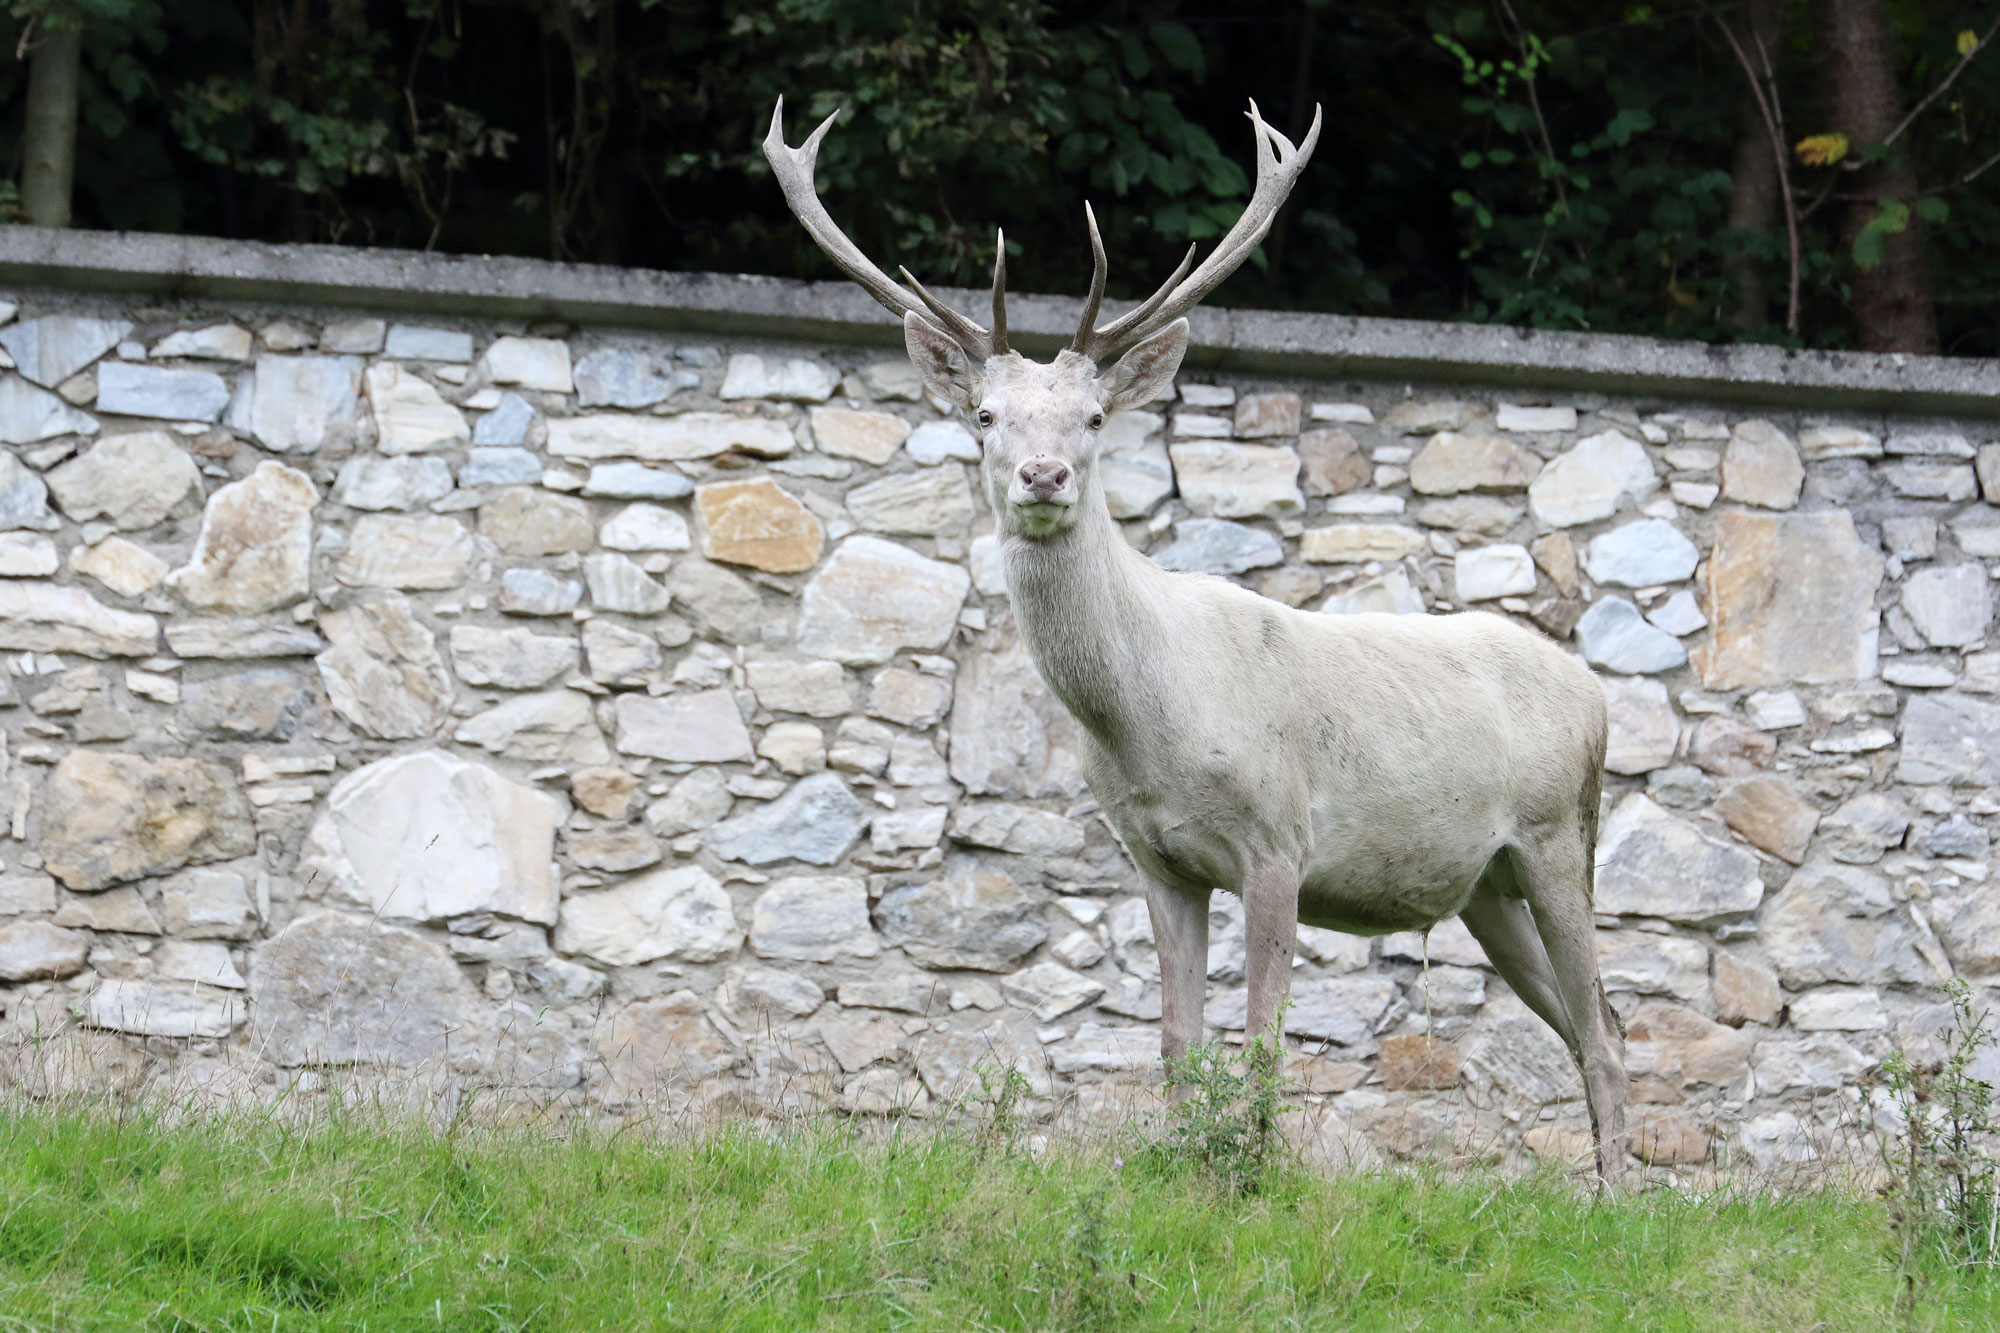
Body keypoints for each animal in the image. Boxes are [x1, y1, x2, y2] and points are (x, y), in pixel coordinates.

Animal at [765, 98, 1627, 1181]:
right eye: (985, 414)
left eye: (1094, 415)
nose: (1042, 476)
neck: (1147, 721)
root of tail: (1595, 694)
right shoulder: (1155, 858)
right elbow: (1177, 1040)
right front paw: (1183, 1172)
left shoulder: (1279, 837)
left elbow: (1259, 1037)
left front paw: (1255, 1179)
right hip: (1487, 885)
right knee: (1585, 1021)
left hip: (1562, 834)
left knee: (1601, 1024)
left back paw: (1618, 1195)